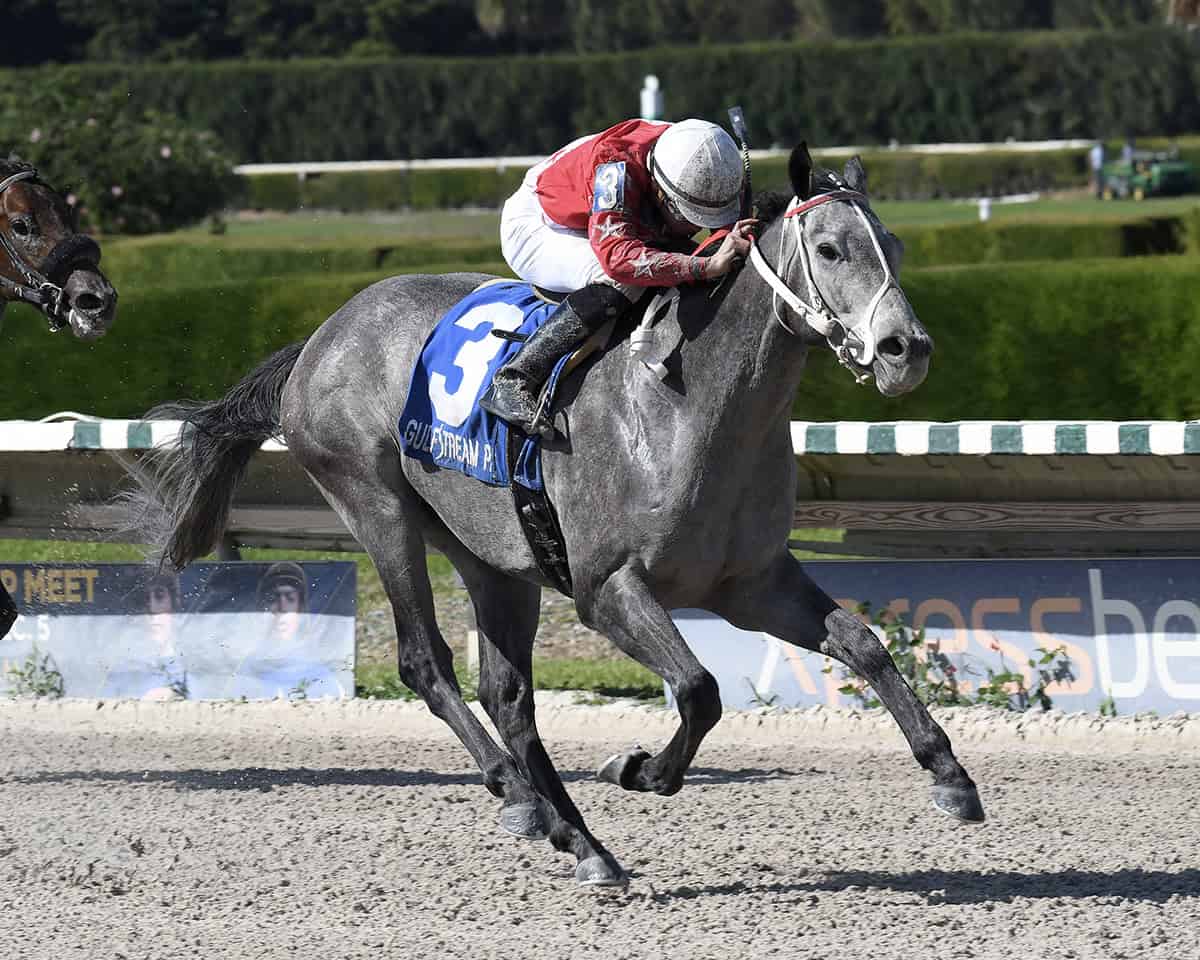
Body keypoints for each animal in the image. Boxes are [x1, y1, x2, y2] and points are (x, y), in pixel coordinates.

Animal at [120, 144, 983, 888]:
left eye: (894, 245)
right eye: (831, 250)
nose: (907, 349)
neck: (687, 408)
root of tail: (320, 337)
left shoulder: (751, 583)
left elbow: (863, 644)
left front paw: (951, 775)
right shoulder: (608, 588)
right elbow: (699, 688)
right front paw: (637, 768)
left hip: (495, 558)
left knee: (508, 693)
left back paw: (580, 841)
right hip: (377, 508)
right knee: (427, 664)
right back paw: (521, 797)